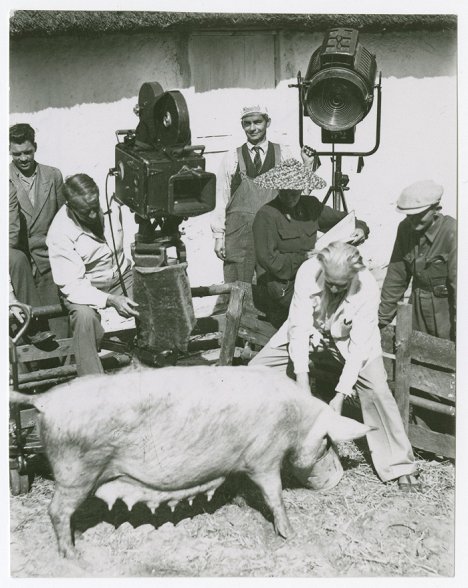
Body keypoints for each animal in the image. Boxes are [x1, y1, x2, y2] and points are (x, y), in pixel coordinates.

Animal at [9, 366, 372, 560]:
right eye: (326, 441)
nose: (338, 479)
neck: (294, 420)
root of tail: (44, 400)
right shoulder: (265, 457)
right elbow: (274, 495)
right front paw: (290, 534)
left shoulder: (242, 462)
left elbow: (241, 486)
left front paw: (239, 505)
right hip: (76, 470)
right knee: (56, 510)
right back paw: (72, 554)